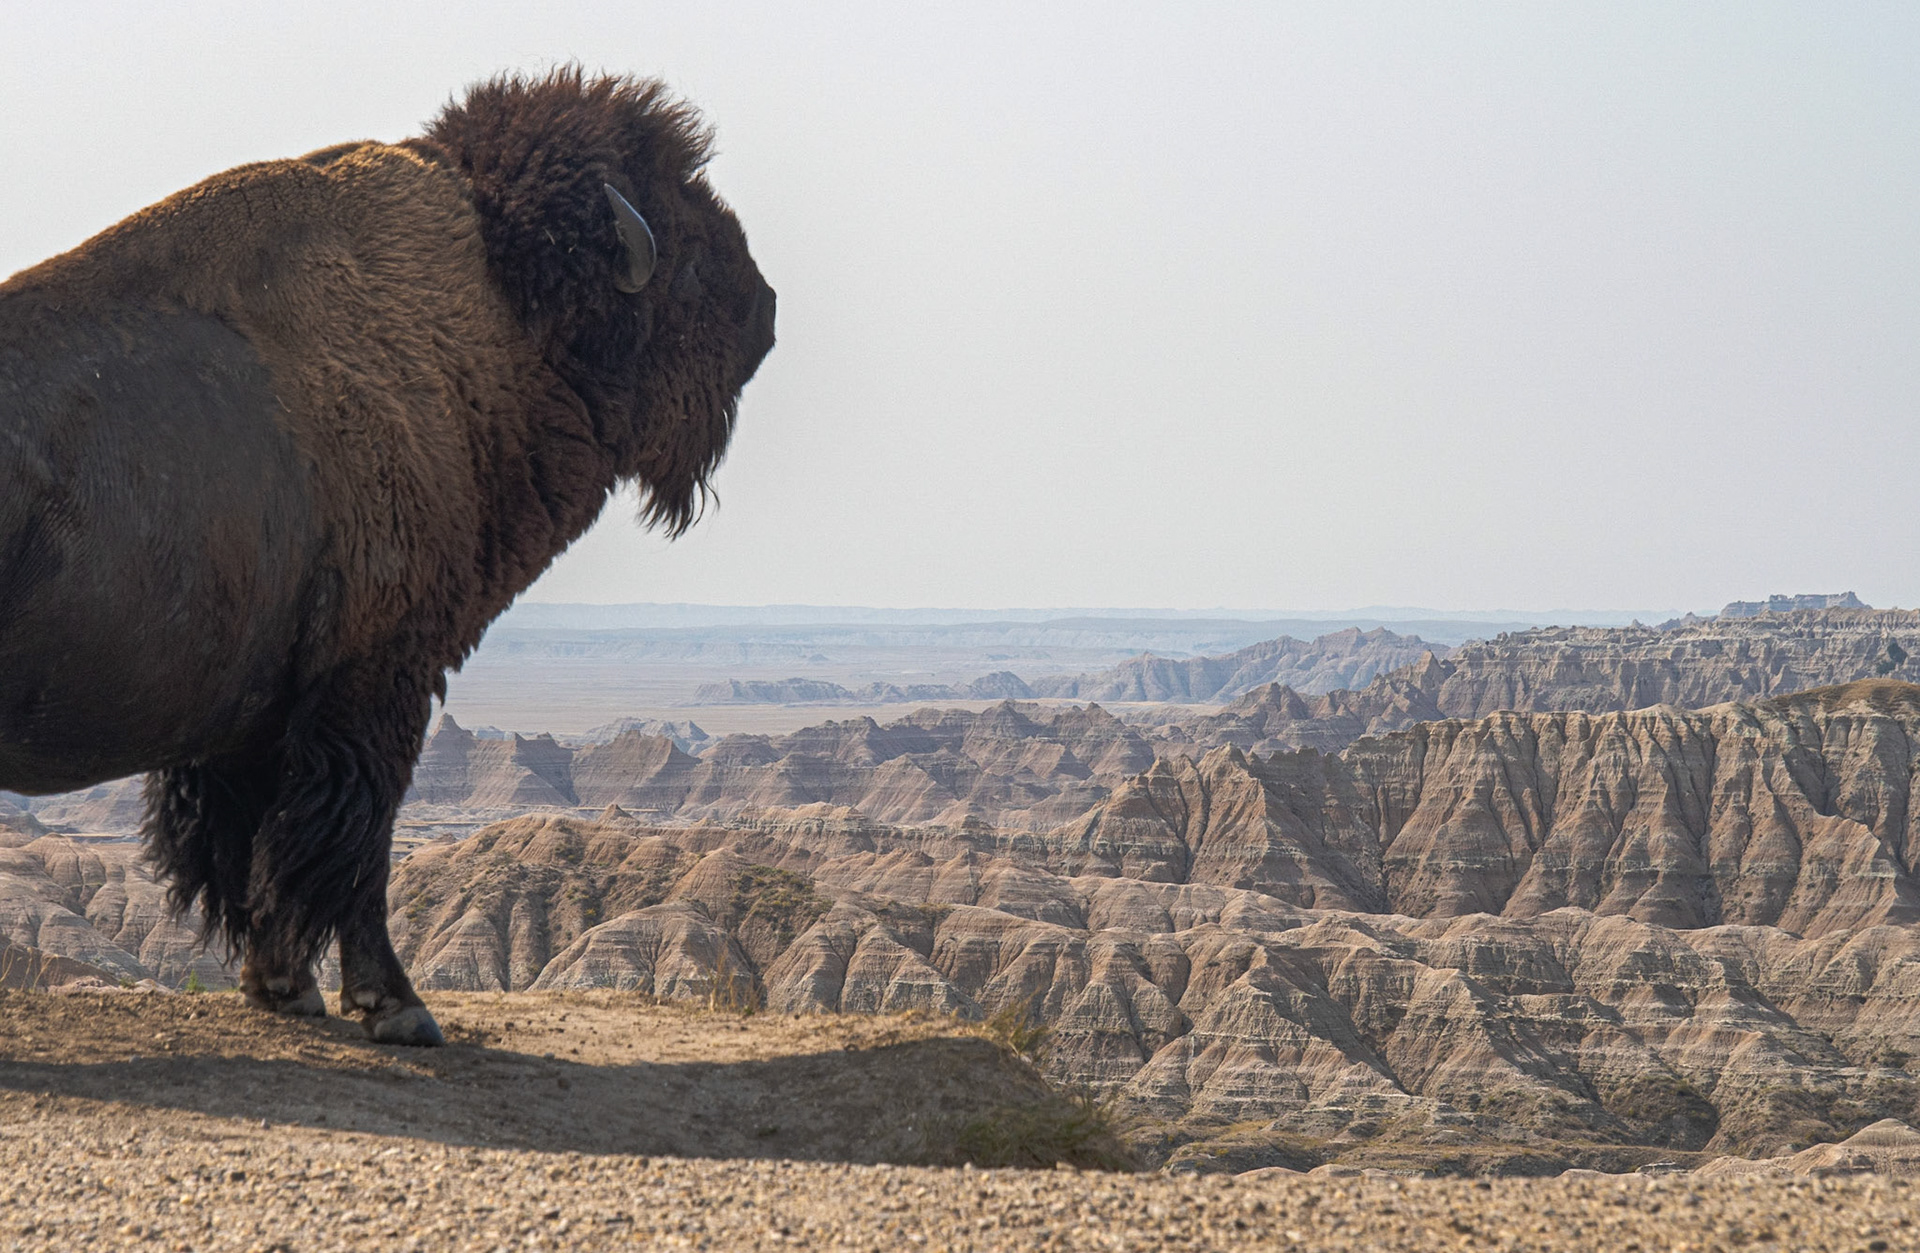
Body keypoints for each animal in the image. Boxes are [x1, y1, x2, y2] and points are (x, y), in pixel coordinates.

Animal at [0, 70, 775, 1044]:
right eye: (691, 258)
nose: (766, 313)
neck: (489, 314)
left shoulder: (269, 718)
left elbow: (264, 850)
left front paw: (284, 987)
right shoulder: (376, 680)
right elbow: (353, 847)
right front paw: (398, 1007)